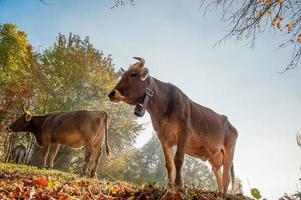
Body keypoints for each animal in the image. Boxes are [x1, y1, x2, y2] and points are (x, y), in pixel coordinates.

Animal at [108, 57, 237, 193]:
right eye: (123, 75)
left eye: (133, 74)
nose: (111, 93)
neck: (163, 107)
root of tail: (229, 123)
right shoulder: (164, 137)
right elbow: (169, 164)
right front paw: (169, 186)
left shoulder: (185, 131)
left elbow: (178, 159)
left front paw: (179, 185)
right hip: (215, 159)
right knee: (219, 177)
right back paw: (219, 193)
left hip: (229, 153)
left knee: (226, 177)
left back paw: (224, 194)